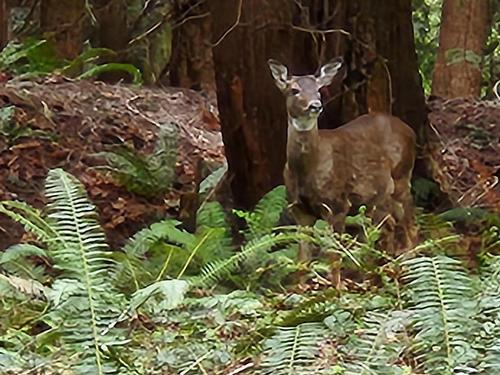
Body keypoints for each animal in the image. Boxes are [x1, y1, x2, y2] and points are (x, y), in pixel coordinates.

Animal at [270, 57, 418, 268]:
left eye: (319, 89)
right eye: (294, 90)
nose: (315, 105)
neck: (305, 172)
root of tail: (410, 130)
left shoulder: (337, 205)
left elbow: (334, 258)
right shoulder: (299, 210)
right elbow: (302, 262)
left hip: (402, 176)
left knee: (411, 224)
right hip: (380, 196)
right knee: (389, 225)